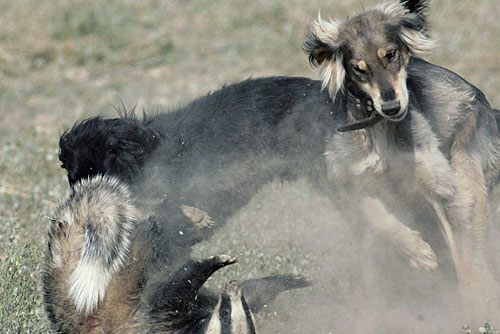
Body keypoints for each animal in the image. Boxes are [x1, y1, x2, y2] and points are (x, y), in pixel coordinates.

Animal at [44, 176, 308, 332]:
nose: (232, 285)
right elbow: (256, 290)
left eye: (226, 313)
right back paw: (190, 215)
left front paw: (212, 263)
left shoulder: (164, 321)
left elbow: (176, 291)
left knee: (154, 237)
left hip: (130, 270)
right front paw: (294, 279)